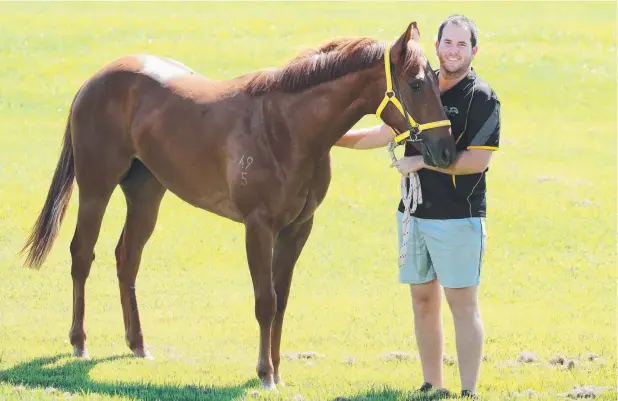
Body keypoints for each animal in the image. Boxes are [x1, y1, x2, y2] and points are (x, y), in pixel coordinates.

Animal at [21, 21, 452, 388]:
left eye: (437, 79)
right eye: (416, 84)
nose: (446, 150)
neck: (287, 128)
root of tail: (94, 80)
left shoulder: (298, 229)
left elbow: (281, 300)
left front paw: (277, 371)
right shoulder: (258, 227)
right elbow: (265, 301)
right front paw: (264, 375)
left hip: (146, 194)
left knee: (127, 258)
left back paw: (138, 345)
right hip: (96, 187)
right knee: (82, 254)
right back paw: (79, 342)